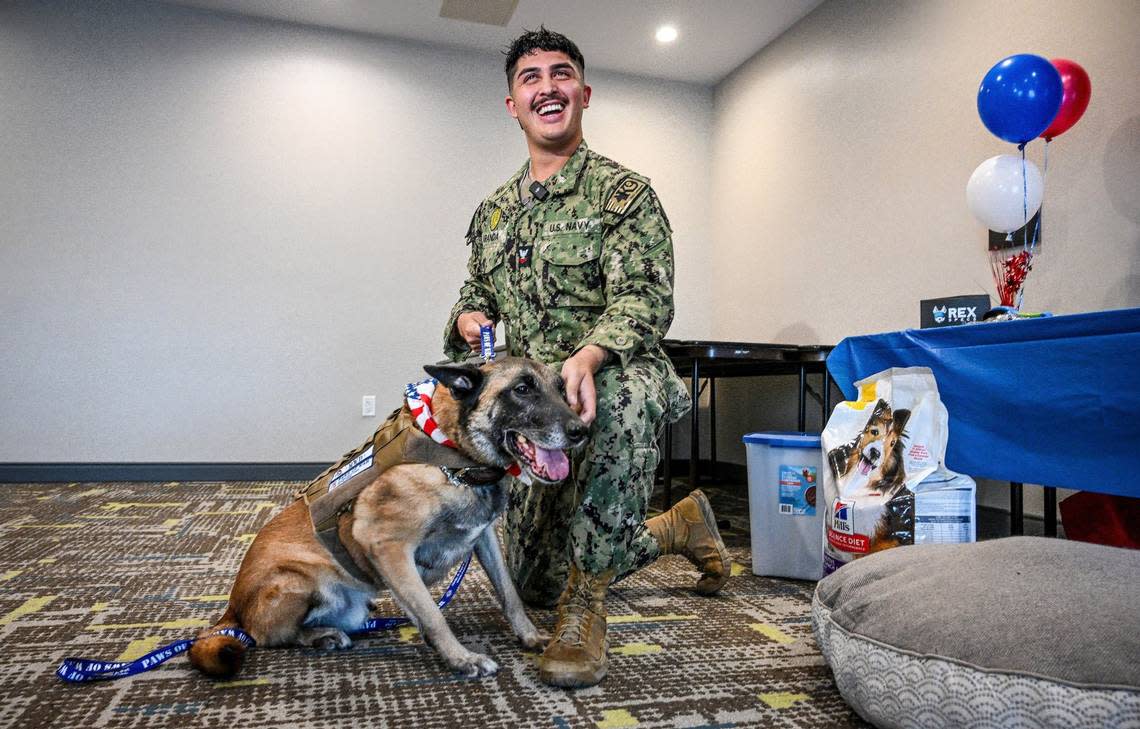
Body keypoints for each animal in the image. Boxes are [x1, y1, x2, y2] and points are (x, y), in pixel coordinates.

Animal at [188, 358, 588, 679]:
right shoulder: (388, 547)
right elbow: (432, 614)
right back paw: (321, 636)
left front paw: (530, 635)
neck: (453, 457)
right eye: (521, 390)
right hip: (295, 579)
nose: (581, 431)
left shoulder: (486, 536)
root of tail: (230, 610)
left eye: (561, 389)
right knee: (266, 636)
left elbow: (509, 594)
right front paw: (461, 658)